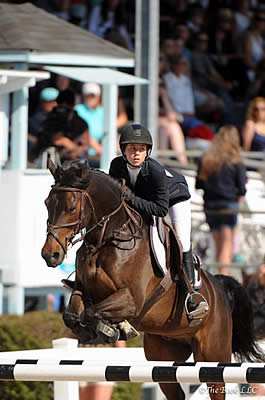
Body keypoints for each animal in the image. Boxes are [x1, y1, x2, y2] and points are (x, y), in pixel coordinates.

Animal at [41, 159, 264, 400]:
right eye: (47, 203)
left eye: (71, 208)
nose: (50, 255)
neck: (108, 239)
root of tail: (220, 289)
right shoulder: (85, 290)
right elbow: (72, 315)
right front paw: (102, 330)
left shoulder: (132, 300)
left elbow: (92, 312)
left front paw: (113, 329)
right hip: (164, 355)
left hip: (213, 356)